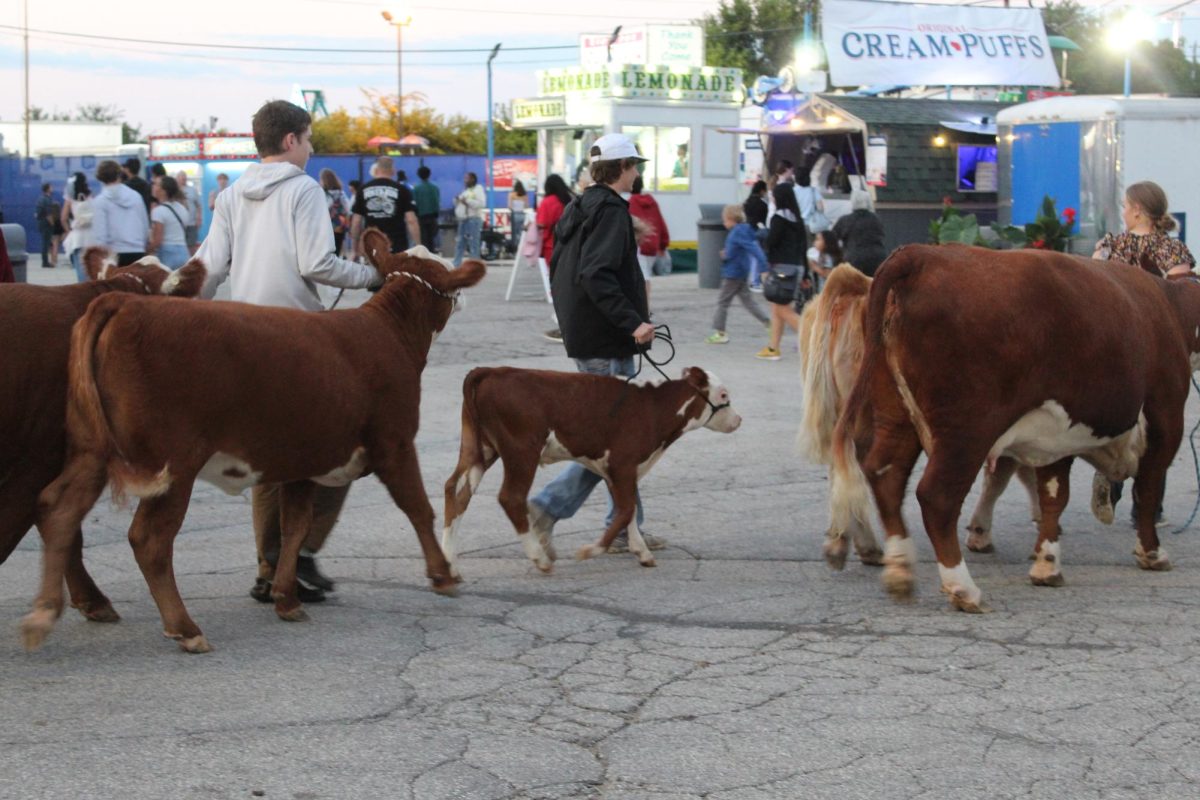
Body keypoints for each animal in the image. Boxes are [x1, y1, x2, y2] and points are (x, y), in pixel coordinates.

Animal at [23, 227, 484, 652]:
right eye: (447, 280)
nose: (462, 301)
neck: (387, 332)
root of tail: (123, 302)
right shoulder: (395, 443)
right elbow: (419, 508)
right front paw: (443, 574)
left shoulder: (305, 459)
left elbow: (294, 527)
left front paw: (286, 598)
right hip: (175, 465)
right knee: (149, 539)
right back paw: (185, 628)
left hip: (91, 451)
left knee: (56, 509)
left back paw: (49, 612)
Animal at [441, 367, 739, 573]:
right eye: (724, 394)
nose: (738, 419)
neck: (653, 407)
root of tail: (491, 371)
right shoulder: (622, 463)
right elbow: (627, 509)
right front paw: (590, 550)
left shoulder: (616, 469)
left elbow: (628, 508)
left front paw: (642, 552)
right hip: (521, 450)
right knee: (510, 497)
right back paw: (540, 558)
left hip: (478, 447)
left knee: (456, 490)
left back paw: (448, 562)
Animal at [830, 247, 1195, 609]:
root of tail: (922, 255)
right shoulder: (1165, 419)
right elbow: (1147, 489)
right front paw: (1152, 552)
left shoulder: (1057, 437)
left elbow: (1053, 496)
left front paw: (1047, 564)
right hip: (966, 430)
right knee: (936, 496)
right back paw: (962, 587)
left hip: (895, 414)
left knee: (885, 475)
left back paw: (900, 570)